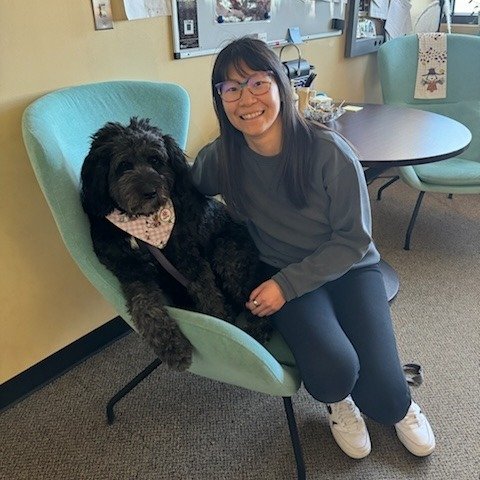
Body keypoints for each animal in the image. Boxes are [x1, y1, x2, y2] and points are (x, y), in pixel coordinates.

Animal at [80, 117, 272, 372]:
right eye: (124, 165)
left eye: (156, 160)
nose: (149, 192)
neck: (143, 229)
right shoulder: (130, 270)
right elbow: (145, 307)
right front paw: (172, 348)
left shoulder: (188, 257)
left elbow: (208, 295)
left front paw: (221, 322)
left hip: (228, 253)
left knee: (252, 294)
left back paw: (257, 326)